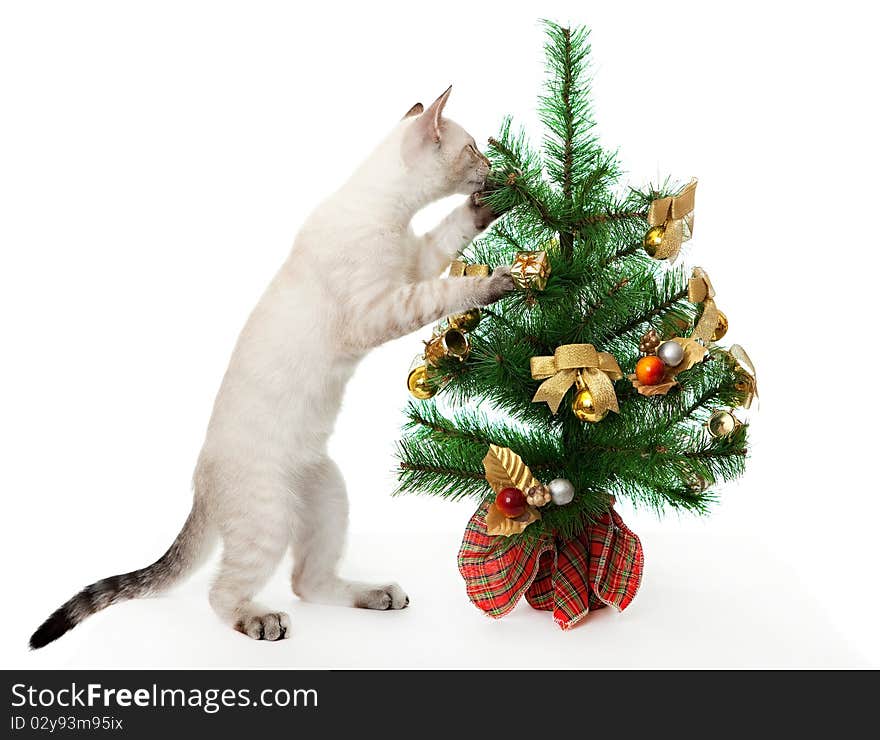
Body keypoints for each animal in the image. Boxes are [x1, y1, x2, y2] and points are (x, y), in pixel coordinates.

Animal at [31, 85, 512, 640]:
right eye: (472, 148)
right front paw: (498, 281)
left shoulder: (415, 263)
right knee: (224, 593)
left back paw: (378, 595)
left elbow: (451, 233)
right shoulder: (384, 307)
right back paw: (262, 621)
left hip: (329, 494)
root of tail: (200, 488)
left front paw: (487, 208)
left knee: (309, 581)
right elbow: (448, 291)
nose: (492, 164)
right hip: (271, 518)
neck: (387, 215)